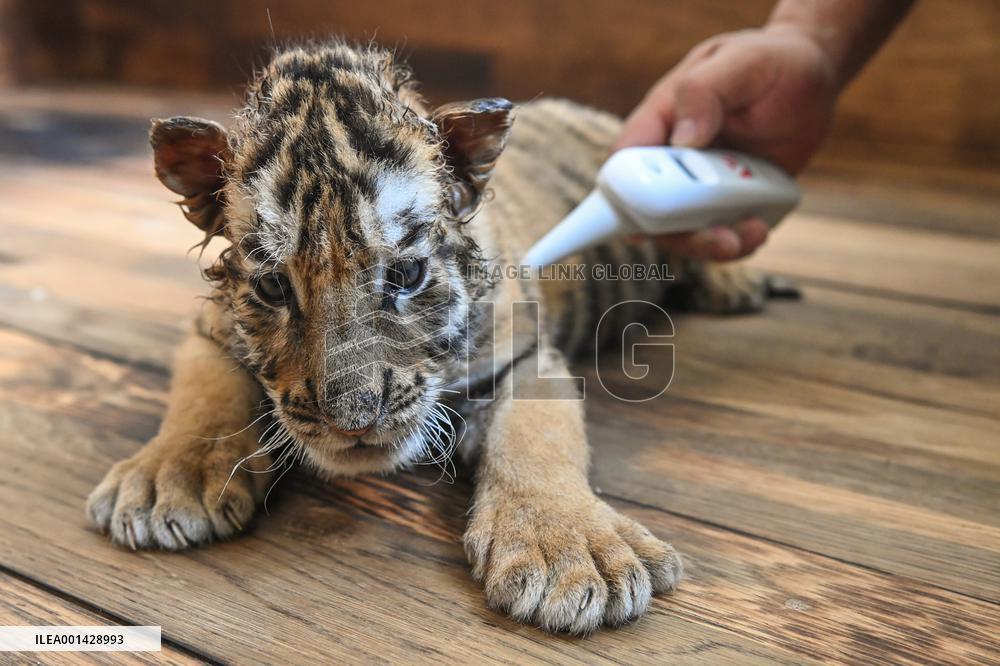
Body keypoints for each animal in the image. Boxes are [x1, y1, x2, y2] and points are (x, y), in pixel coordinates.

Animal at [86, 40, 782, 634]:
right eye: (274, 287)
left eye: (406, 275)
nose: (353, 420)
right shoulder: (208, 331)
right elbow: (202, 396)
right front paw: (165, 480)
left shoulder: (526, 354)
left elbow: (538, 435)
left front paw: (570, 550)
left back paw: (733, 280)